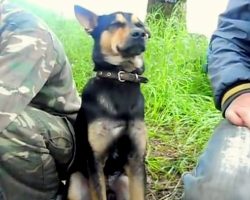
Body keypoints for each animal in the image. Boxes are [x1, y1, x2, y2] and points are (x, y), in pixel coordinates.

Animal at [66, 5, 150, 200]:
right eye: (115, 24)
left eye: (139, 25)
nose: (140, 33)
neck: (121, 78)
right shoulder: (95, 159)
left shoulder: (136, 158)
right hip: (75, 183)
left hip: (124, 181)